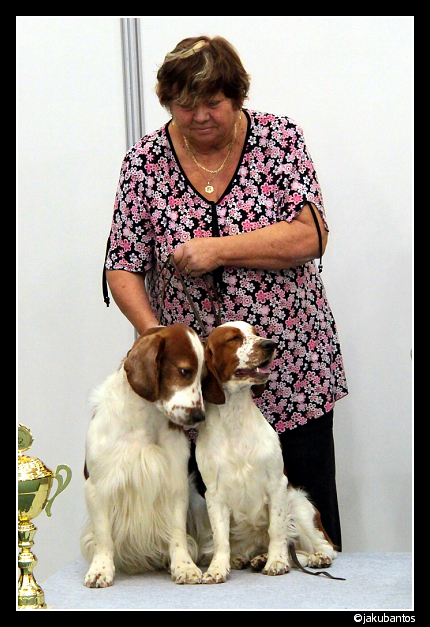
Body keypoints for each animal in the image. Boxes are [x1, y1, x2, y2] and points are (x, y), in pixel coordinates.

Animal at [80, 324, 211, 587]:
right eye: (184, 371)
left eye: (202, 378)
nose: (199, 417)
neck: (144, 421)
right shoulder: (97, 488)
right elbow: (103, 536)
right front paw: (100, 570)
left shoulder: (176, 485)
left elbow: (177, 532)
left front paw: (184, 566)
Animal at [196, 321, 337, 584]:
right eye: (233, 338)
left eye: (255, 332)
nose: (270, 344)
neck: (235, 419)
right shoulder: (214, 494)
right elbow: (221, 538)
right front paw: (217, 568)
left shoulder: (276, 485)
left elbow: (277, 530)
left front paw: (276, 562)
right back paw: (251, 558)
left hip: (300, 507)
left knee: (323, 548)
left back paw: (314, 558)